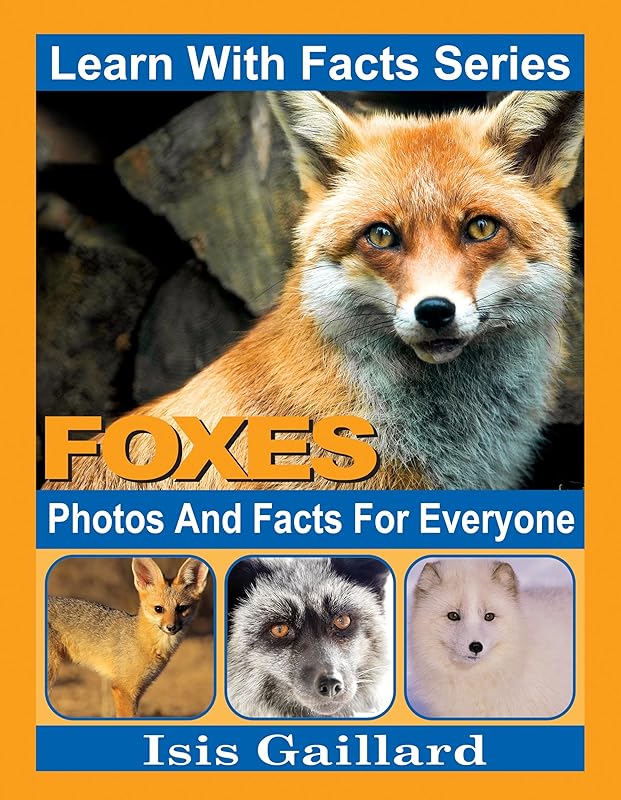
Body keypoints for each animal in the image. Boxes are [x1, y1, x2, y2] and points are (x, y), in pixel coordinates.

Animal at [47, 557, 209, 717]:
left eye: (181, 608)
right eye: (158, 609)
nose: (171, 627)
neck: (143, 640)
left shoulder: (140, 689)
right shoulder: (123, 688)